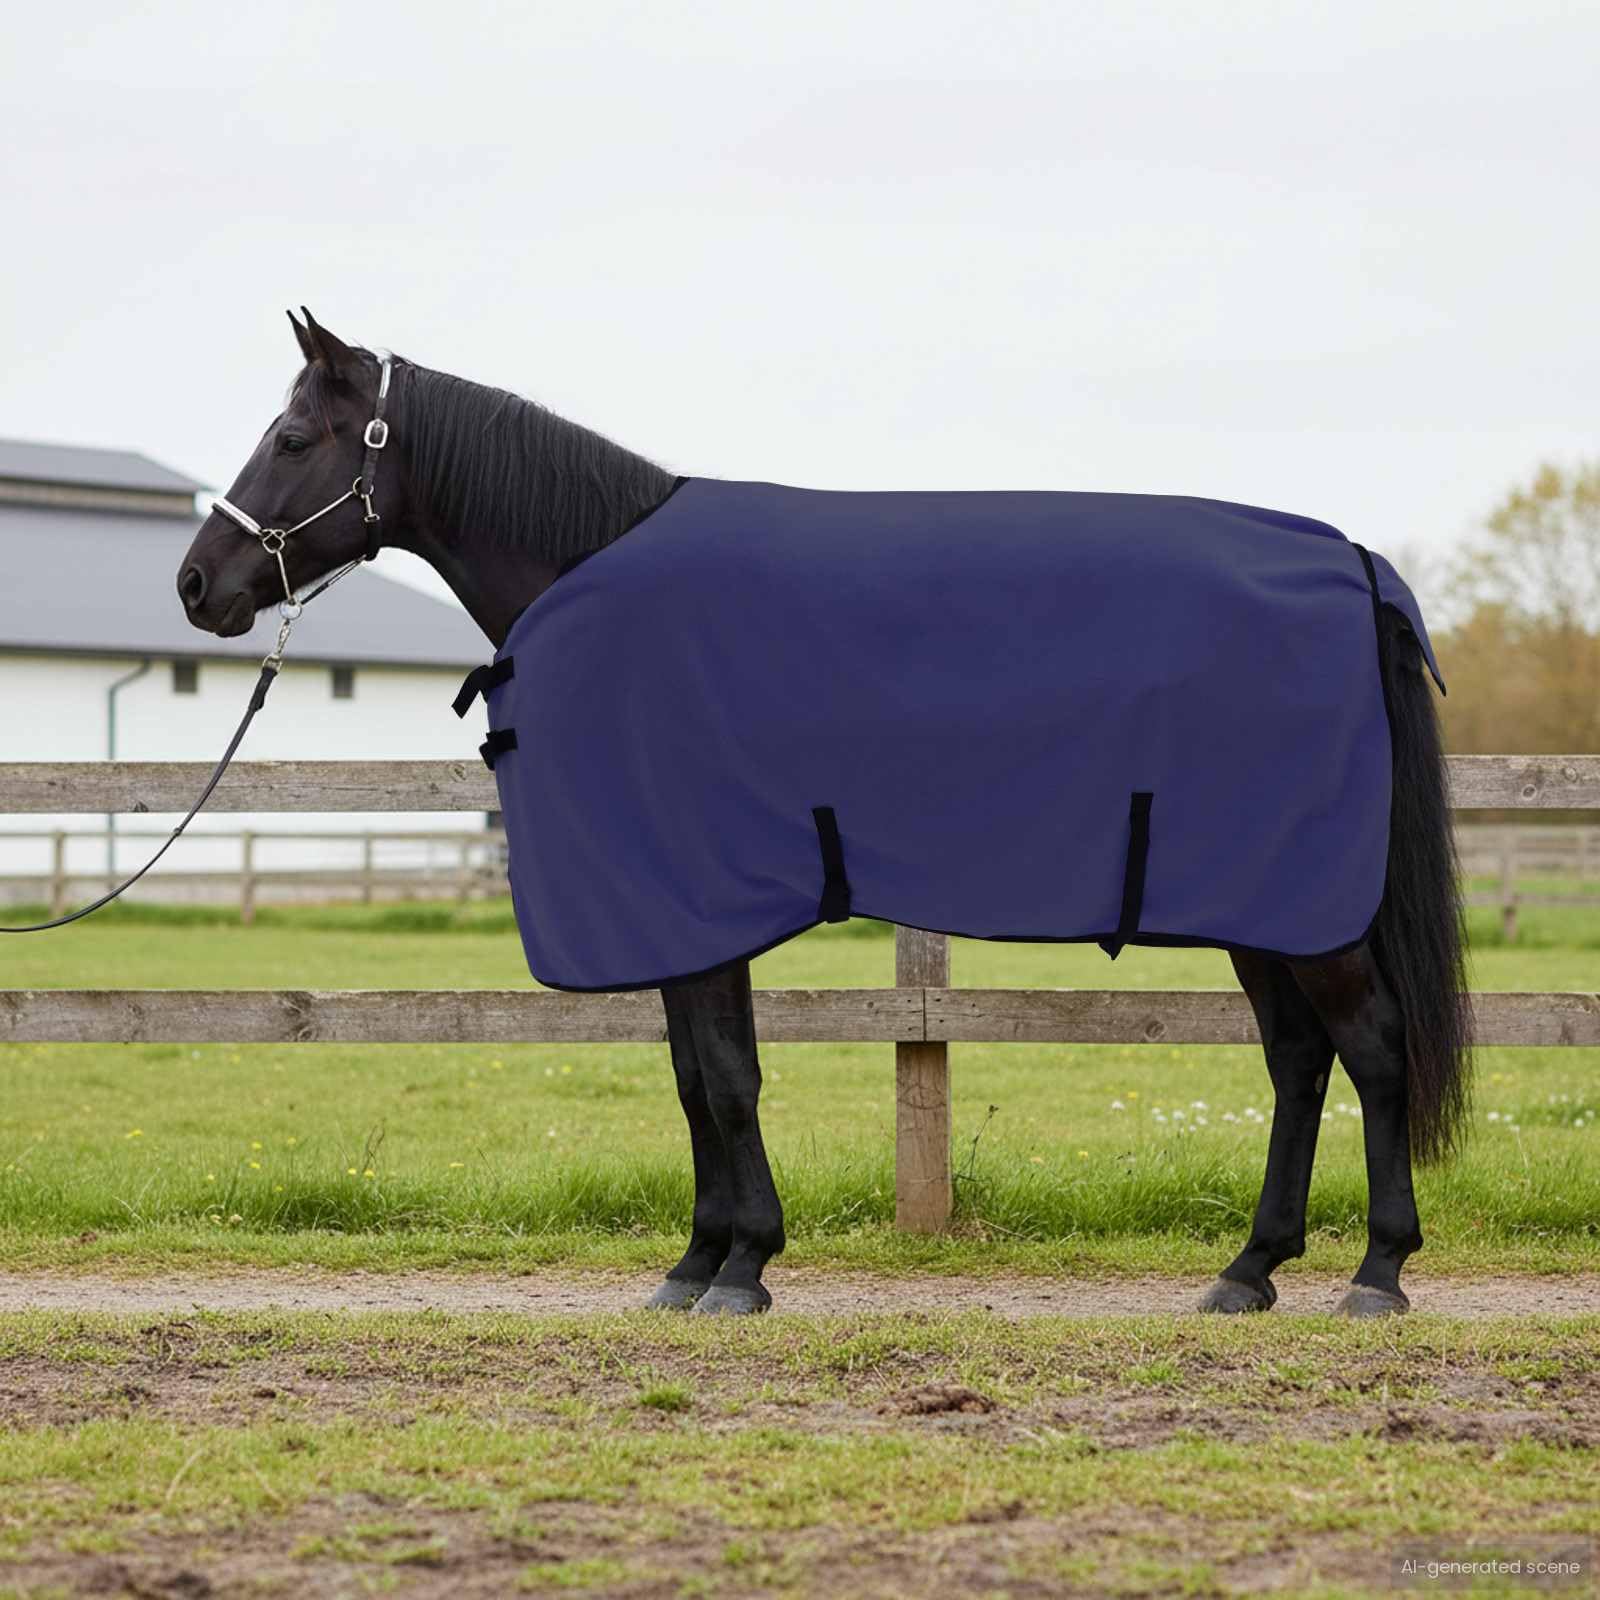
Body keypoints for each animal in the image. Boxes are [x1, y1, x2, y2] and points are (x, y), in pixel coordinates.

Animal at [177, 309, 1471, 1318]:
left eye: (291, 438)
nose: (197, 584)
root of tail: (1350, 565)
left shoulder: (698, 900)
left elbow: (725, 1077)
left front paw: (740, 1265)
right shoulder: (685, 913)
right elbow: (697, 1075)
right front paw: (700, 1260)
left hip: (1303, 904)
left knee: (1371, 1047)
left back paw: (1377, 1271)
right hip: (1260, 901)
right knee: (1298, 1060)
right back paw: (1249, 1269)